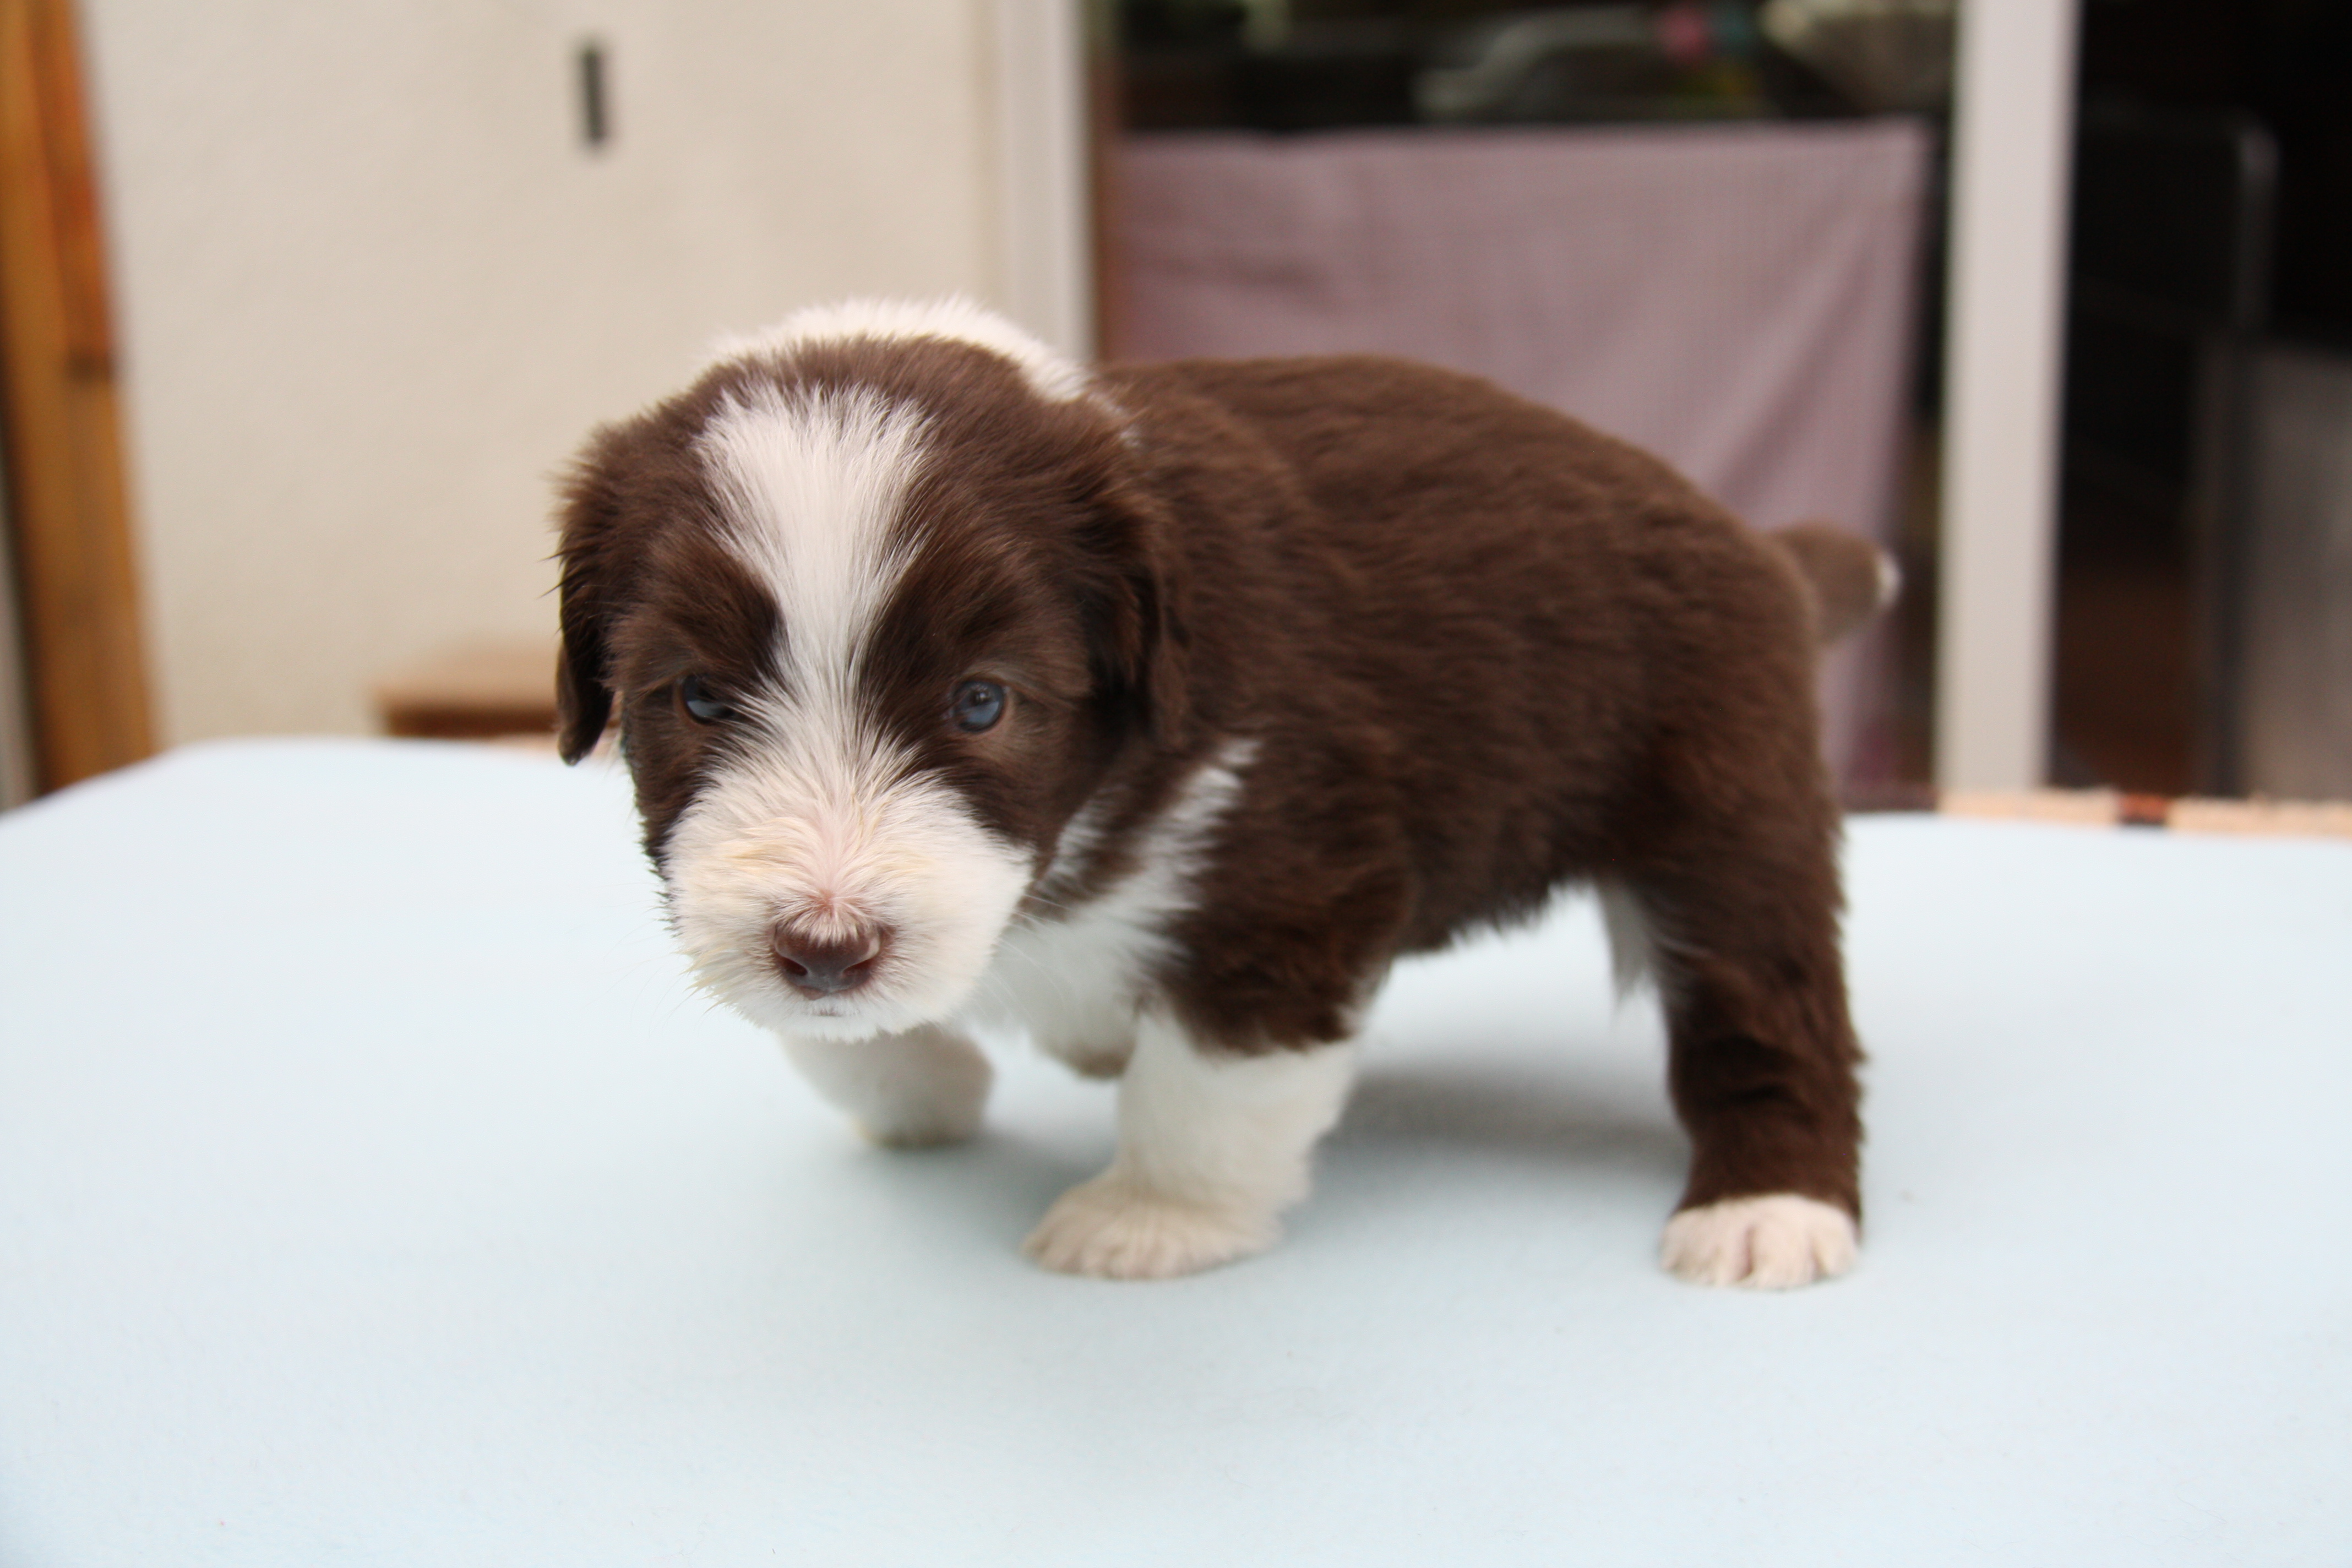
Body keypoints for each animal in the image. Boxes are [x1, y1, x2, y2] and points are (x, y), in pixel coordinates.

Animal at [556, 298, 1886, 1286]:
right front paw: (924, 1085)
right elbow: (816, 1024)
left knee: (1765, 1009)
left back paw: (1767, 1203)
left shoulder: (1291, 883)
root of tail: (1758, 545)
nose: (827, 951)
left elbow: (1205, 1072)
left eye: (982, 702)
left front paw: (1151, 1217)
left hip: (1726, 808)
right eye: (698, 697)